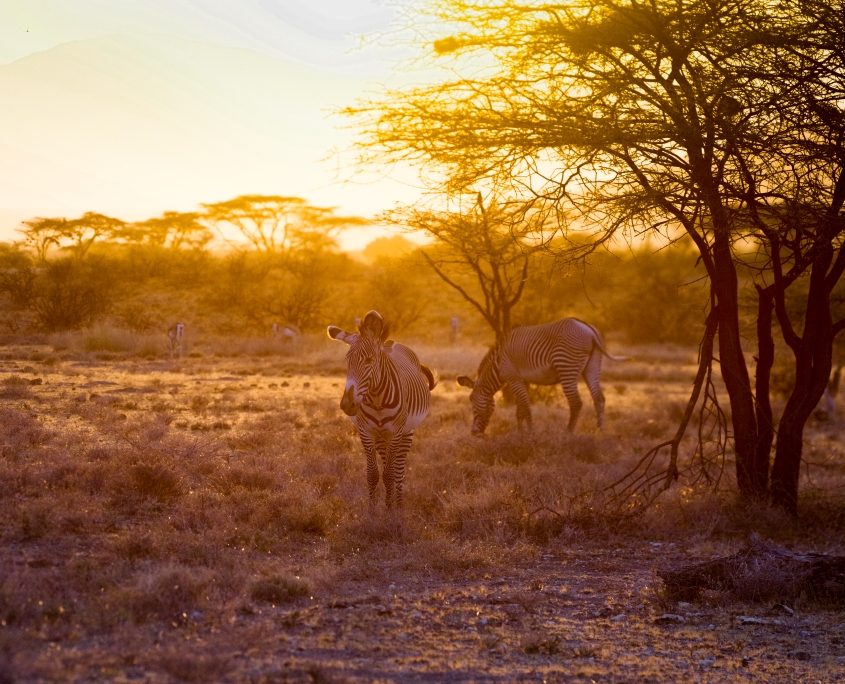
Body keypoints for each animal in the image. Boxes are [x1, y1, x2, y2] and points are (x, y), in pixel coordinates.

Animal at [328, 310, 437, 508]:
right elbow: (373, 475)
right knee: (389, 465)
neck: (377, 399)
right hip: (380, 437)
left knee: (398, 470)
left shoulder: (395, 432)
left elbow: (389, 474)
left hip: (406, 432)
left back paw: (398, 506)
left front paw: (389, 511)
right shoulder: (366, 432)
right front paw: (373, 511)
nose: (347, 404)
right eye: (347, 361)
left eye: (369, 360)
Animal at [456, 318, 626, 434]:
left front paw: (530, 434)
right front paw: (520, 434)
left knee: (576, 402)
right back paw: (600, 431)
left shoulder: (514, 379)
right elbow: (520, 410)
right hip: (593, 365)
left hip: (567, 366)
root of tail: (589, 330)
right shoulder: (523, 380)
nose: (474, 433)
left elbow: (526, 407)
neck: (498, 364)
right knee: (599, 398)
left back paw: (568, 433)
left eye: (471, 400)